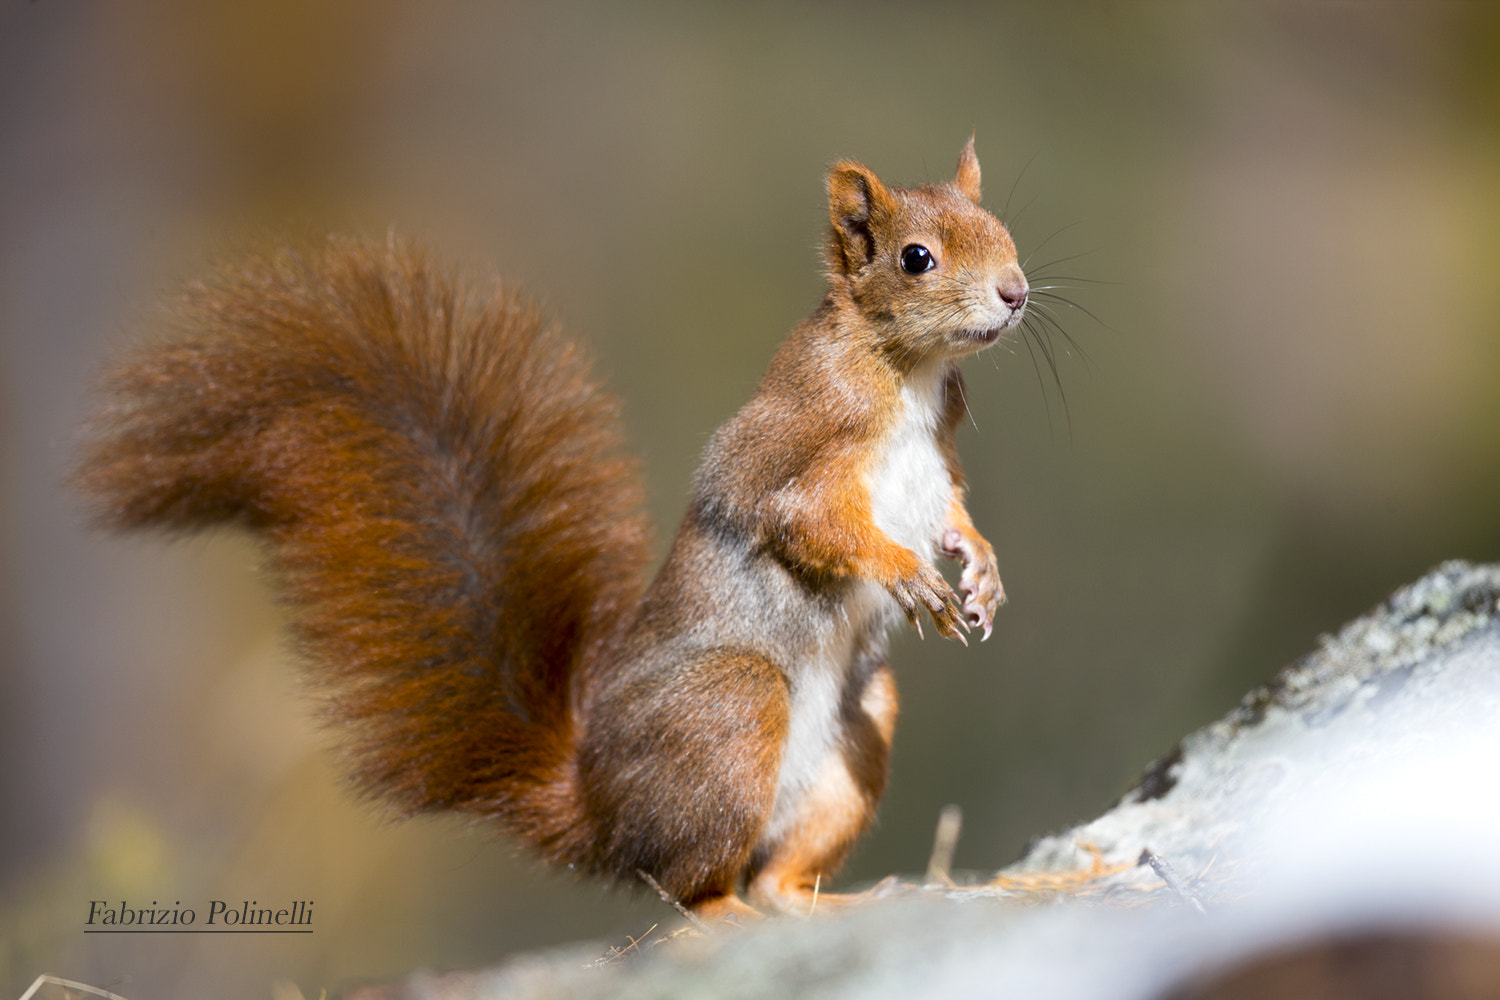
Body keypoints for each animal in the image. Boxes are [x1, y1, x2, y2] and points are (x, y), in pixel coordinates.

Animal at [76, 140, 1026, 923]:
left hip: (853, 739)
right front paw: (906, 574)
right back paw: (725, 912)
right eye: (914, 258)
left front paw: (981, 570)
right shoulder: (791, 455)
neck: (910, 371)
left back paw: (834, 902)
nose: (1016, 294)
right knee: (691, 885)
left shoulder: (936, 470)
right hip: (732, 708)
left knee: (771, 875)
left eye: (1001, 228)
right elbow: (811, 524)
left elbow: (953, 518)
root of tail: (600, 811)